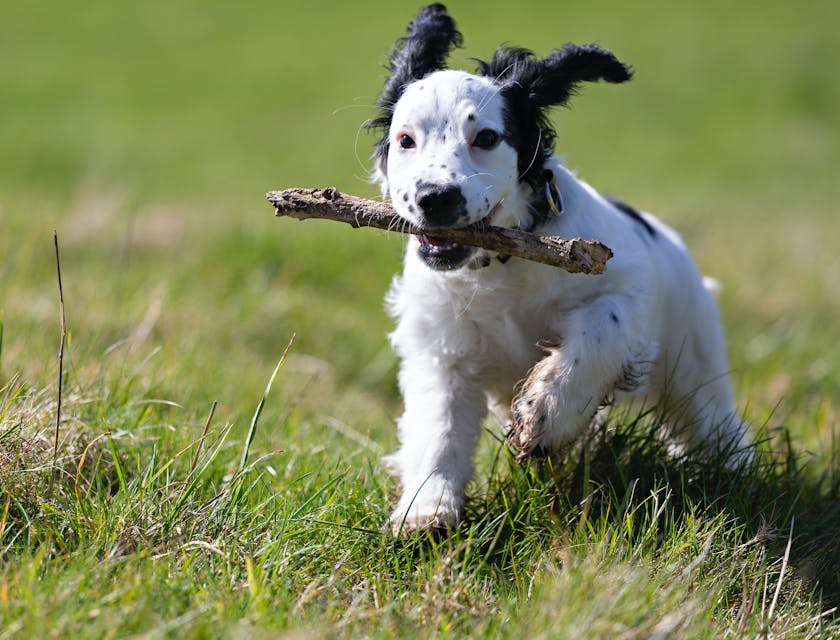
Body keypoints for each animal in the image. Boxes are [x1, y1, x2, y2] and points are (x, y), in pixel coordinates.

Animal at [370, 3, 752, 536]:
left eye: (486, 138)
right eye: (405, 140)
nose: (435, 198)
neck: (499, 265)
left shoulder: (626, 289)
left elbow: (597, 333)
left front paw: (546, 414)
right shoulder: (440, 349)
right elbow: (438, 426)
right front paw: (427, 511)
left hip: (694, 364)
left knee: (714, 424)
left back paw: (739, 477)